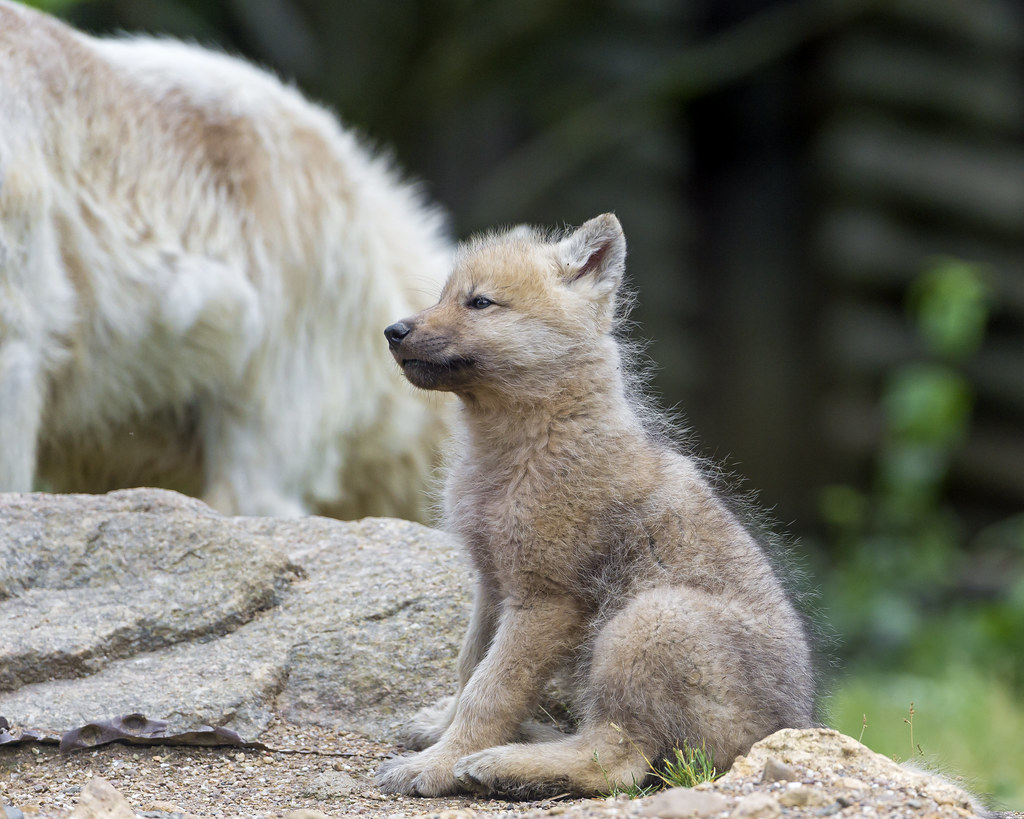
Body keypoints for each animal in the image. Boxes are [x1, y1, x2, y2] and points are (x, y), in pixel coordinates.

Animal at [377, 214, 816, 797]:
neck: (518, 453)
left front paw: (440, 764)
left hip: (649, 619)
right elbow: (469, 668)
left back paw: (501, 763)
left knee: (620, 762)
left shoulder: (544, 599)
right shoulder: (492, 583)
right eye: (442, 296)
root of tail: (787, 730)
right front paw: (440, 732)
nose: (393, 331)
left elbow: (491, 689)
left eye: (480, 303)